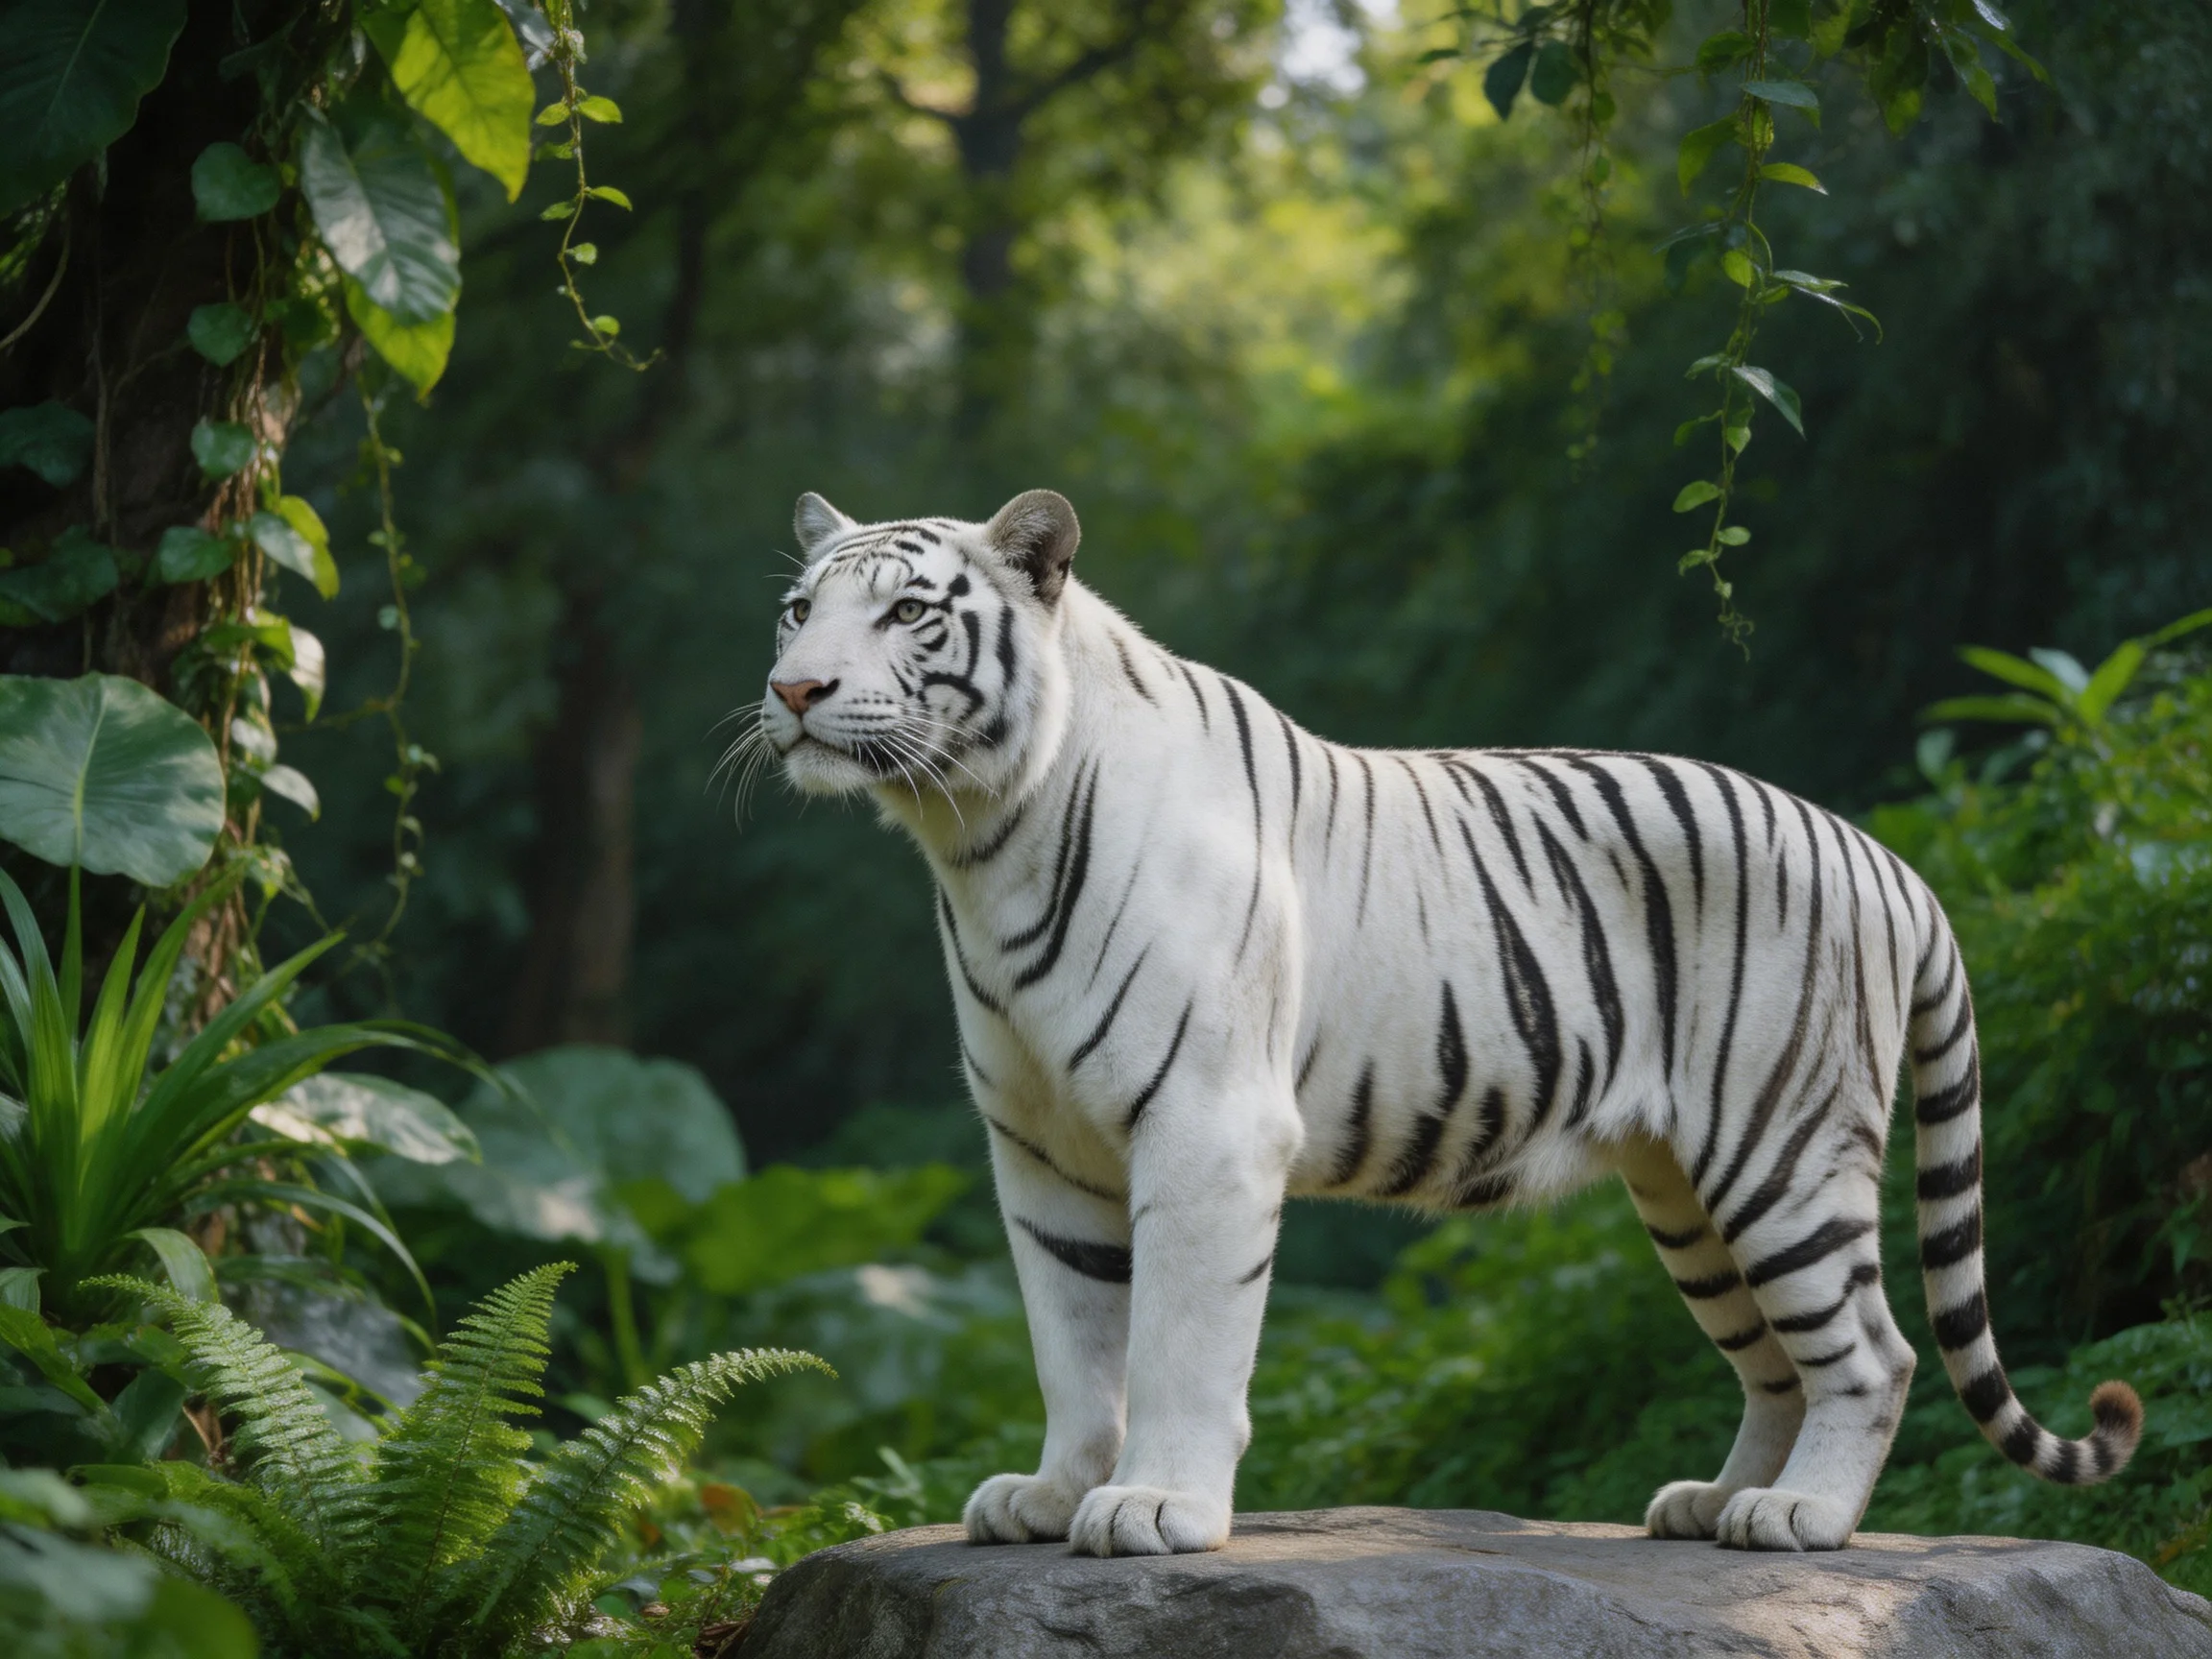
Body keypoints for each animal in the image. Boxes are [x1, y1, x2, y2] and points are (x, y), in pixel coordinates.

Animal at [752, 486, 2143, 1556]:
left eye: (907, 612)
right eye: (800, 609)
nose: (795, 688)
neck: (981, 838)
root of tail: (1884, 857)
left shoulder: (1206, 1129)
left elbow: (1179, 1343)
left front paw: (1155, 1509)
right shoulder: (1041, 1151)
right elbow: (1073, 1342)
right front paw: (1051, 1495)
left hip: (1782, 1151)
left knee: (1870, 1351)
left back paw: (1799, 1521)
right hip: (1688, 1192)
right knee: (1772, 1359)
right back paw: (1718, 1503)